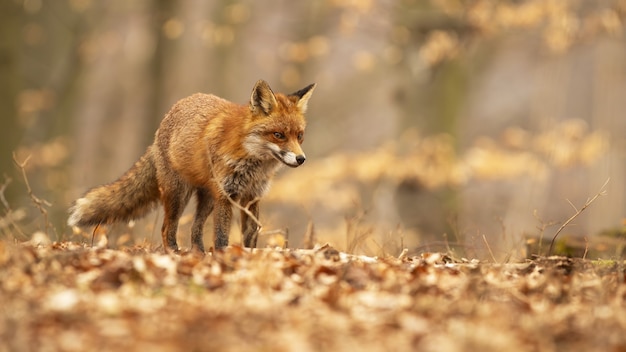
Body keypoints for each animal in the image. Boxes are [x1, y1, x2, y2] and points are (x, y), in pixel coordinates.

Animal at [67, 79, 316, 253]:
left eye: (300, 136)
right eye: (278, 135)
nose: (301, 159)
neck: (253, 162)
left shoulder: (251, 197)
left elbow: (250, 236)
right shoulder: (226, 195)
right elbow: (222, 237)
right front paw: (225, 257)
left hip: (206, 198)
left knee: (195, 230)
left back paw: (199, 254)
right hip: (179, 195)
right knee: (167, 229)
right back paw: (174, 253)